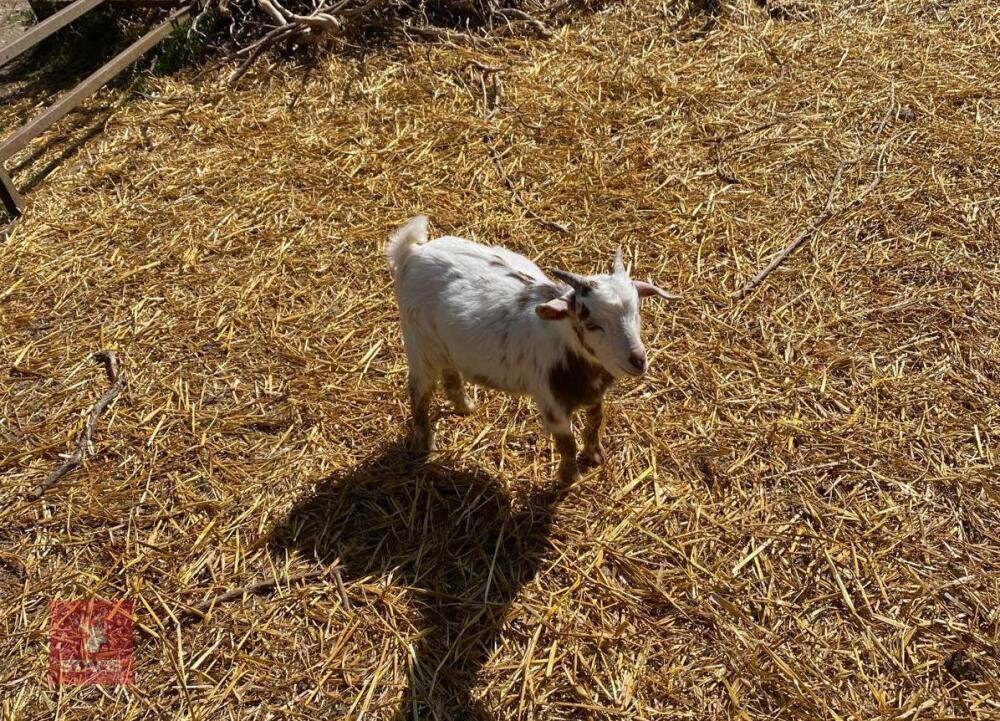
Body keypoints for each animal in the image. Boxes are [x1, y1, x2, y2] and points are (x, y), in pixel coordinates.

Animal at [386, 215, 679, 482]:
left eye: (638, 309)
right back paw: (425, 443)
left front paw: (595, 455)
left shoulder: (594, 394)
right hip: (419, 342)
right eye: (590, 323)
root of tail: (413, 250)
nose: (637, 360)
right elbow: (566, 443)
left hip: (444, 345)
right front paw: (569, 478)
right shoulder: (552, 403)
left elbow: (596, 422)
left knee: (449, 373)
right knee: (419, 390)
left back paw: (465, 407)